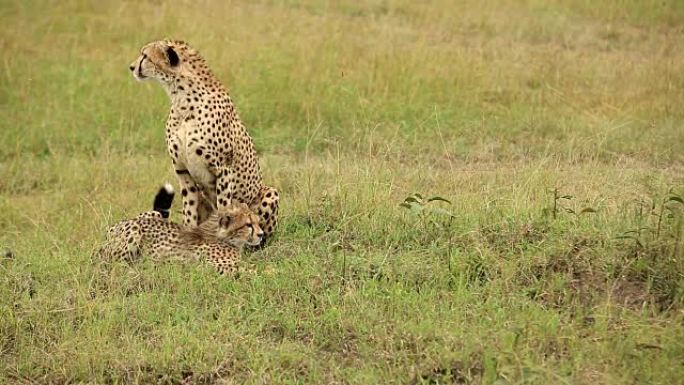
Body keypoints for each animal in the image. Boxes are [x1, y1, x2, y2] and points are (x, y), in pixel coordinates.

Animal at [97, 184, 264, 276]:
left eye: (257, 222)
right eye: (248, 224)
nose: (261, 234)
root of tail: (111, 228)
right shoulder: (210, 267)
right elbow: (252, 270)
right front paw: (267, 273)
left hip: (155, 214)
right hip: (133, 232)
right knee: (111, 264)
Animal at [128, 39, 278, 243]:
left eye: (145, 56)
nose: (131, 67)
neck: (182, 99)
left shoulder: (223, 169)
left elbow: (224, 207)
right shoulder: (182, 171)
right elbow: (189, 209)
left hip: (270, 193)